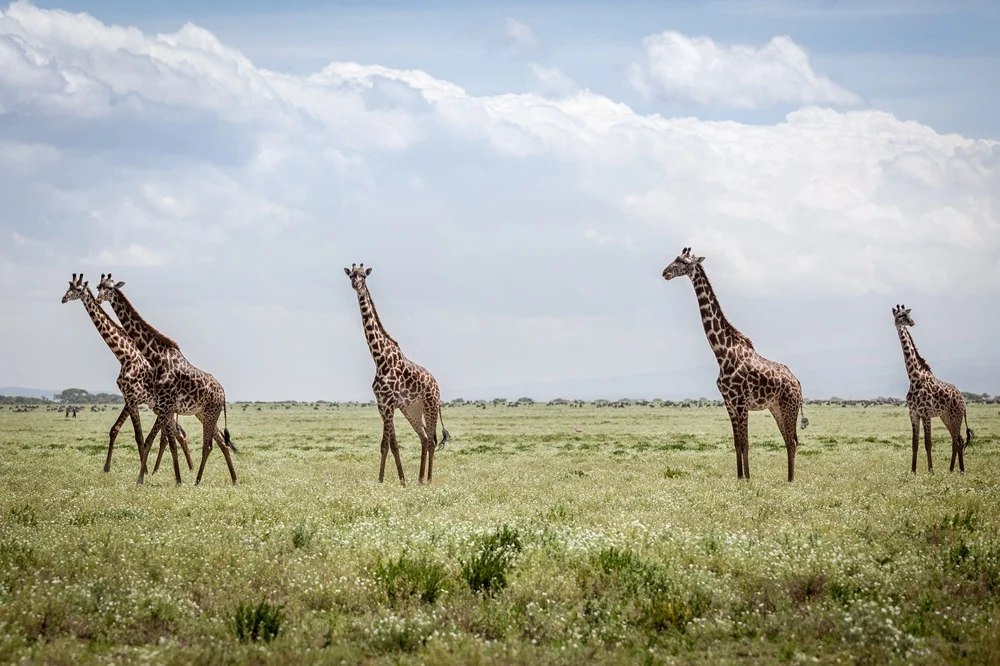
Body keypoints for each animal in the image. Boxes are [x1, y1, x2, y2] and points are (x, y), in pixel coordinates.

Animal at [61, 273, 193, 474]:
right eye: (68, 286)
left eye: (77, 289)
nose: (63, 298)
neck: (124, 356)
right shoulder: (128, 398)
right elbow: (115, 429)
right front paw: (107, 467)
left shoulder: (133, 397)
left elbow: (139, 436)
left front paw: (143, 470)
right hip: (159, 407)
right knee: (176, 434)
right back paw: (179, 468)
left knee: (175, 434)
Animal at [94, 273, 238, 486]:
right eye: (98, 286)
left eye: (110, 288)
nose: (98, 299)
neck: (156, 357)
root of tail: (223, 393)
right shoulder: (164, 406)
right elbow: (164, 441)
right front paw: (169, 479)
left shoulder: (164, 405)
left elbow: (152, 440)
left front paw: (144, 479)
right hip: (204, 414)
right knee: (221, 442)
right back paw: (233, 479)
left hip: (211, 413)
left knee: (208, 445)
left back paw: (198, 481)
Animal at [344, 263, 450, 485]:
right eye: (351, 275)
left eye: (363, 276)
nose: (355, 284)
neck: (379, 358)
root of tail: (437, 385)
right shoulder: (383, 404)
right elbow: (391, 445)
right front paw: (401, 480)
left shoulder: (389, 403)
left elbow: (386, 444)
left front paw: (381, 481)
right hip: (411, 409)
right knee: (424, 437)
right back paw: (419, 479)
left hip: (430, 405)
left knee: (432, 439)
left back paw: (428, 480)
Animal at [662, 248, 806, 482]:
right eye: (674, 258)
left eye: (683, 262)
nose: (665, 272)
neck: (722, 353)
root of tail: (798, 382)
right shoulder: (728, 403)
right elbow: (737, 443)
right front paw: (740, 477)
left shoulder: (740, 402)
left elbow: (745, 443)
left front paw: (747, 478)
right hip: (776, 407)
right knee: (789, 439)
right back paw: (788, 478)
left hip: (788, 406)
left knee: (792, 440)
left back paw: (791, 480)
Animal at [892, 304, 973, 474]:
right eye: (899, 316)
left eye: (907, 315)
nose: (911, 322)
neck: (914, 378)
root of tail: (963, 399)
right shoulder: (913, 413)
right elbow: (915, 443)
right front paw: (913, 471)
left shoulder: (926, 413)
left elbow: (928, 443)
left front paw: (931, 471)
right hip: (946, 416)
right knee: (957, 439)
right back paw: (951, 470)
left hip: (956, 415)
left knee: (958, 439)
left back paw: (961, 471)